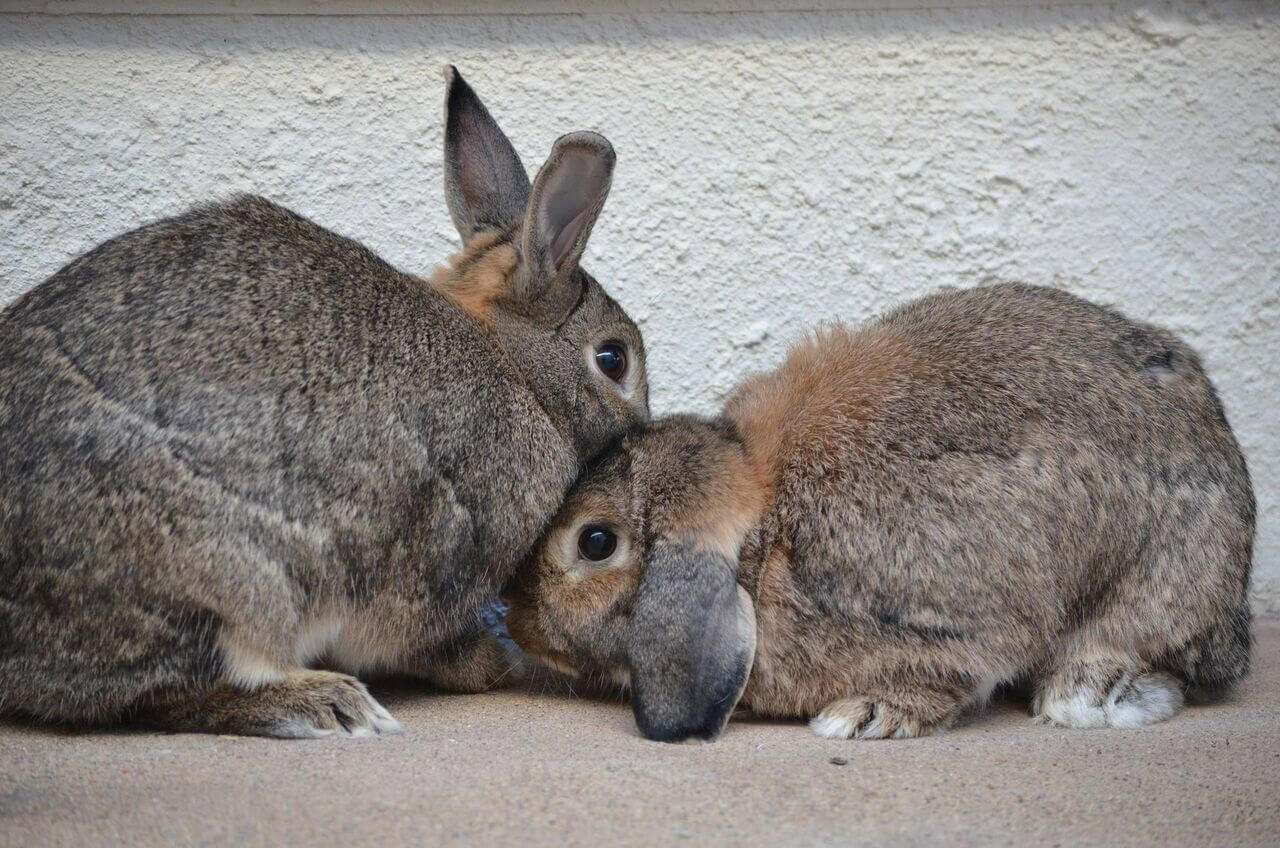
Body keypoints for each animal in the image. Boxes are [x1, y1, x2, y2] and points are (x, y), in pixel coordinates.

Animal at [0, 69, 650, 742]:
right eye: (613, 360)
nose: (644, 428)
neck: (514, 363)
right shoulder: (442, 555)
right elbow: (433, 644)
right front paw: (496, 661)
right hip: (233, 578)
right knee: (167, 694)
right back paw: (328, 704)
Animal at [504, 284, 1254, 742]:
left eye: (595, 542)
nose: (519, 625)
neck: (762, 538)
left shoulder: (956, 623)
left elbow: (950, 677)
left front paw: (863, 717)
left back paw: (1085, 691)